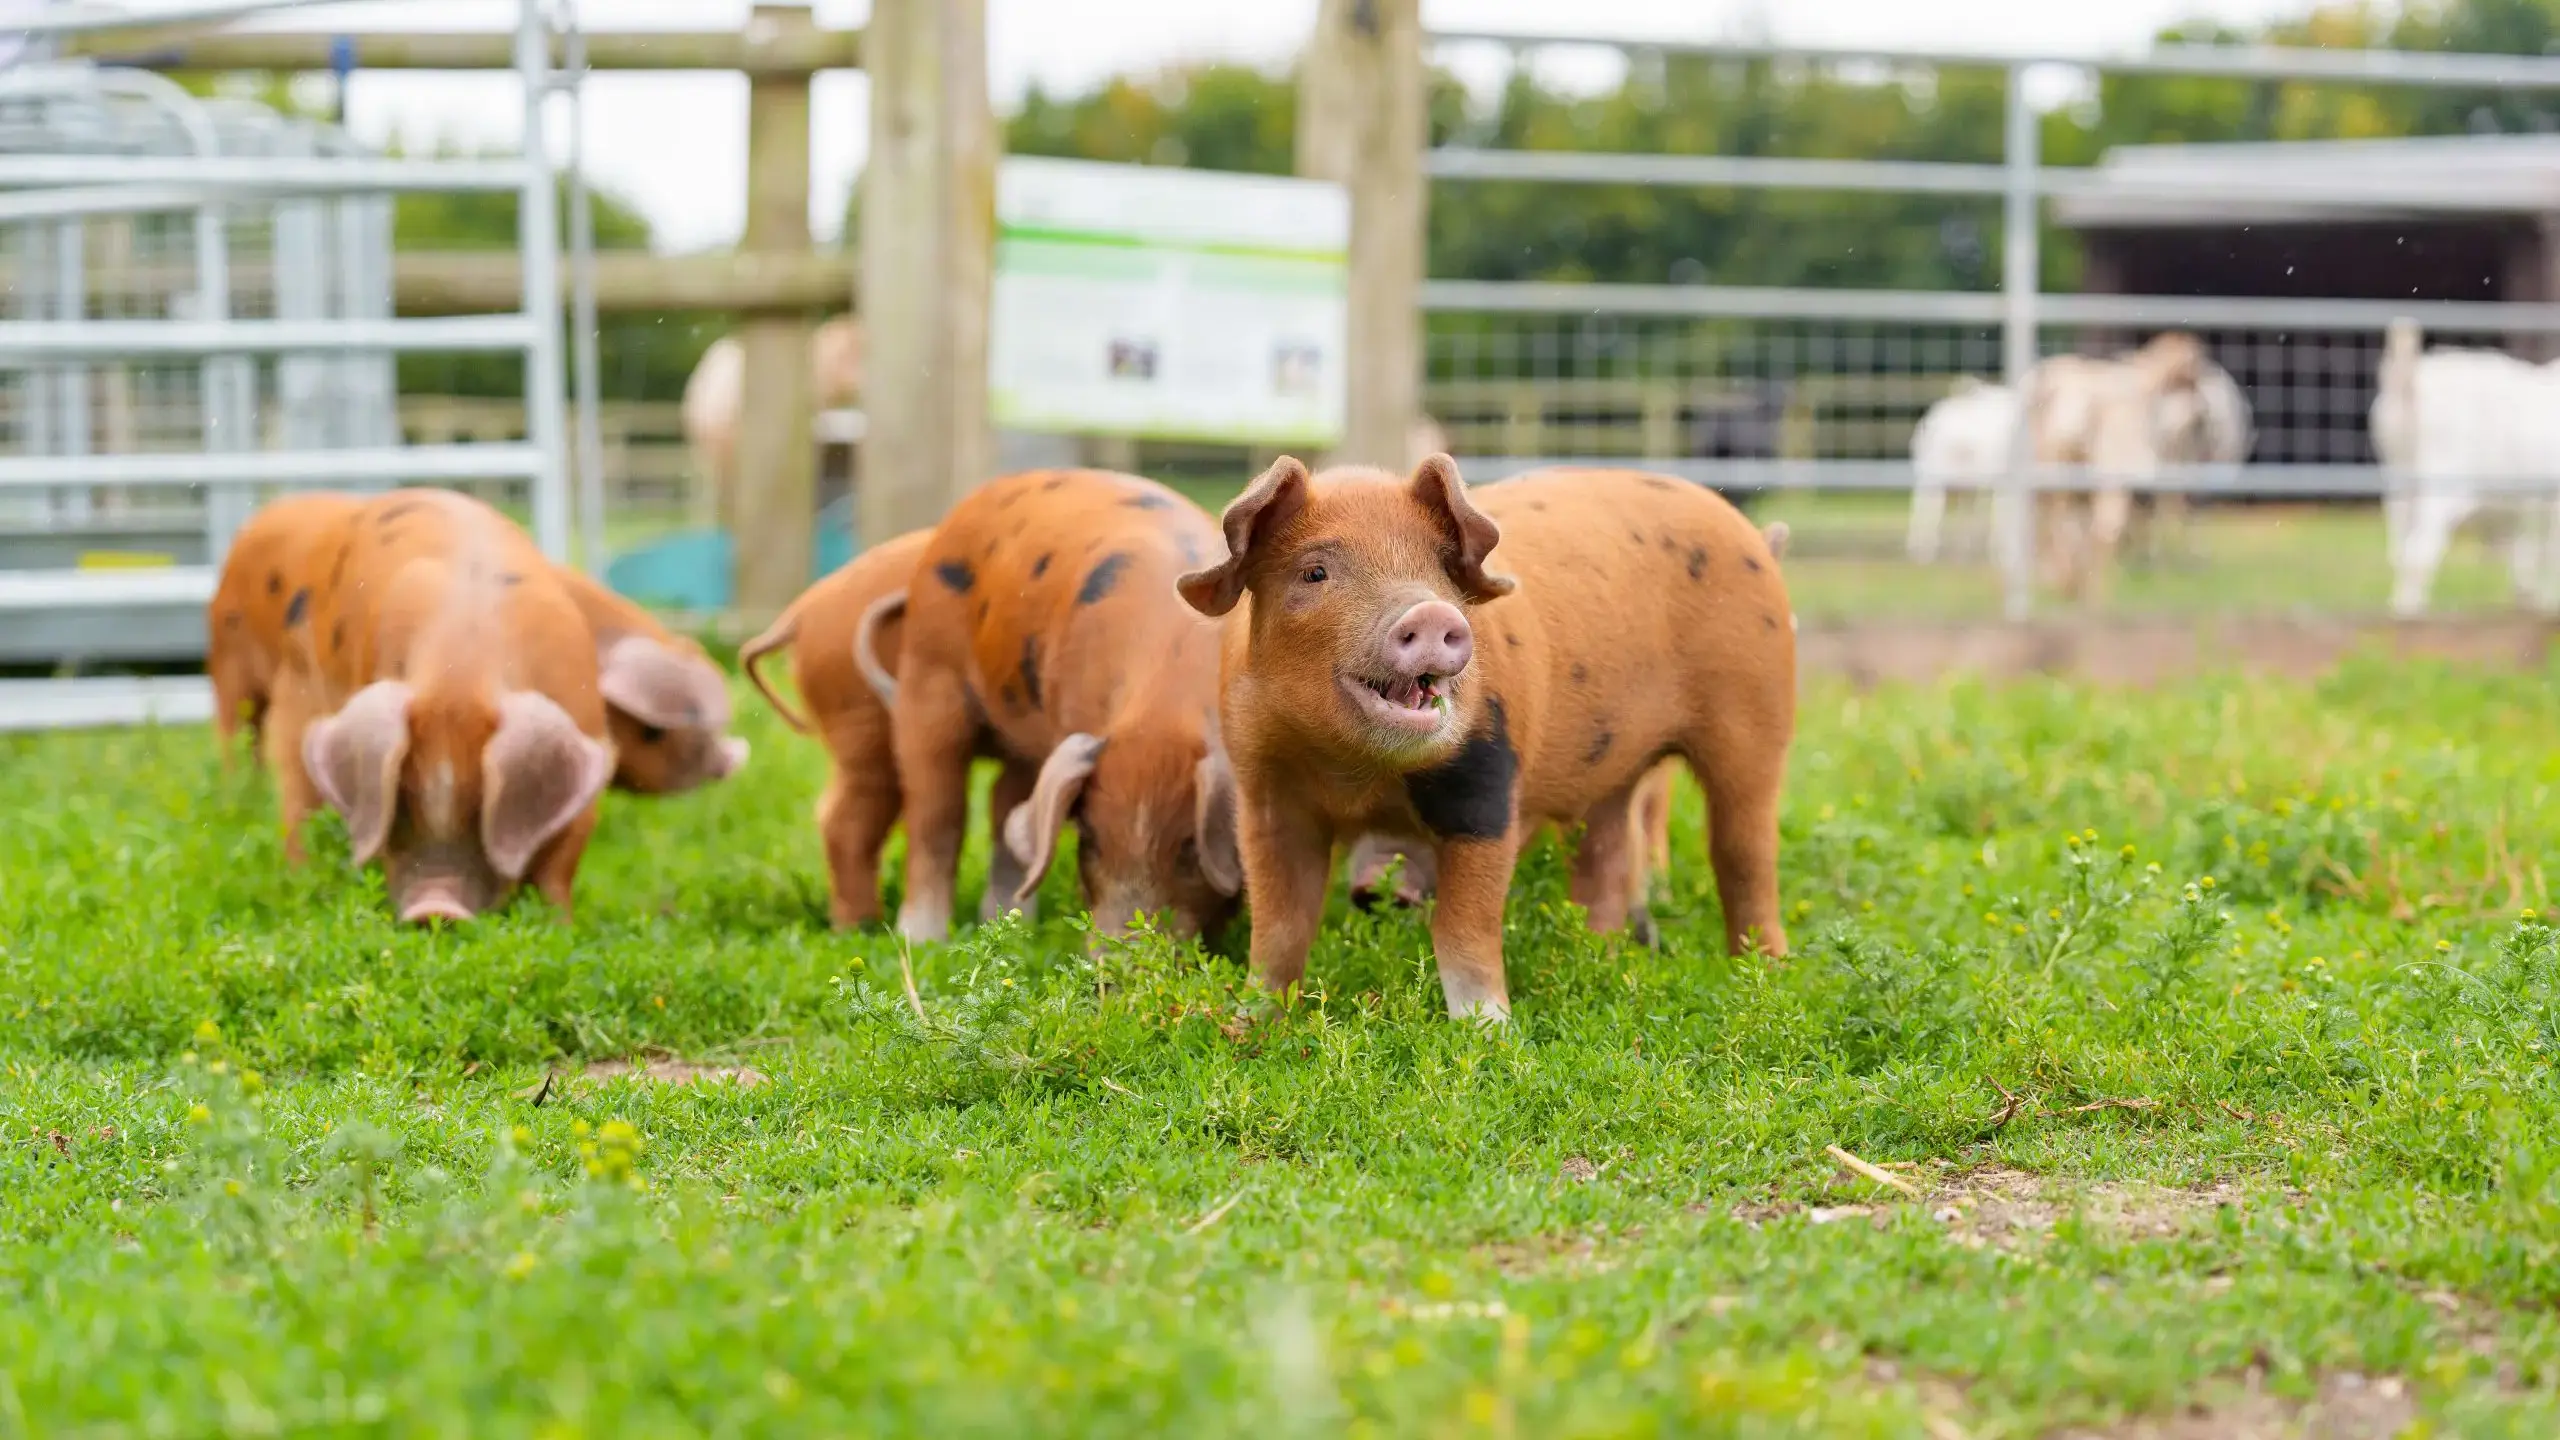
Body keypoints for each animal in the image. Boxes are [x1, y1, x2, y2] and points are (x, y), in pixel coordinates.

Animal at [266, 488, 617, 923]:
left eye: (482, 804)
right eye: (402, 798)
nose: (435, 908)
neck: (462, 668)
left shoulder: (589, 754)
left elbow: (558, 869)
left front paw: (559, 925)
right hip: (297, 701)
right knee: (297, 806)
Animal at [890, 469, 1240, 942]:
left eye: (1189, 847)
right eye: (1089, 838)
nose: (1123, 957)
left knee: (1004, 804)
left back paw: (1009, 923)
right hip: (928, 671)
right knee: (937, 807)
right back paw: (923, 939)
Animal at [1179, 456, 1794, 1020]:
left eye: (1442, 566)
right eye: (1314, 572)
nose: (1429, 611)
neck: (1358, 777)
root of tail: (1755, 540)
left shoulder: (1486, 786)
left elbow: (1463, 925)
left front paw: (1487, 1034)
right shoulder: (1265, 797)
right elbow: (1280, 926)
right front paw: (1247, 1027)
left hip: (1758, 716)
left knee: (1744, 854)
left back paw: (1765, 976)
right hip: (1611, 772)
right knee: (1607, 859)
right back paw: (1599, 961)